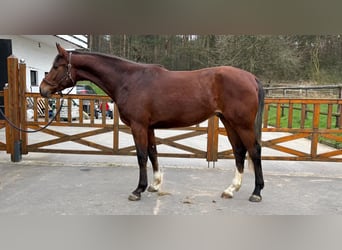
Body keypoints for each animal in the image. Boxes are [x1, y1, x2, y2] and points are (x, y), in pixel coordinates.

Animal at [39, 44, 264, 202]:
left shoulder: (138, 126)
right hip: (229, 122)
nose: (43, 89)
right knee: (239, 151)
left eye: (57, 66)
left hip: (242, 124)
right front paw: (154, 185)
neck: (129, 80)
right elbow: (153, 153)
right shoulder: (148, 127)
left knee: (254, 151)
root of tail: (252, 78)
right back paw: (231, 189)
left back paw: (256, 192)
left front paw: (138, 190)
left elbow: (141, 156)